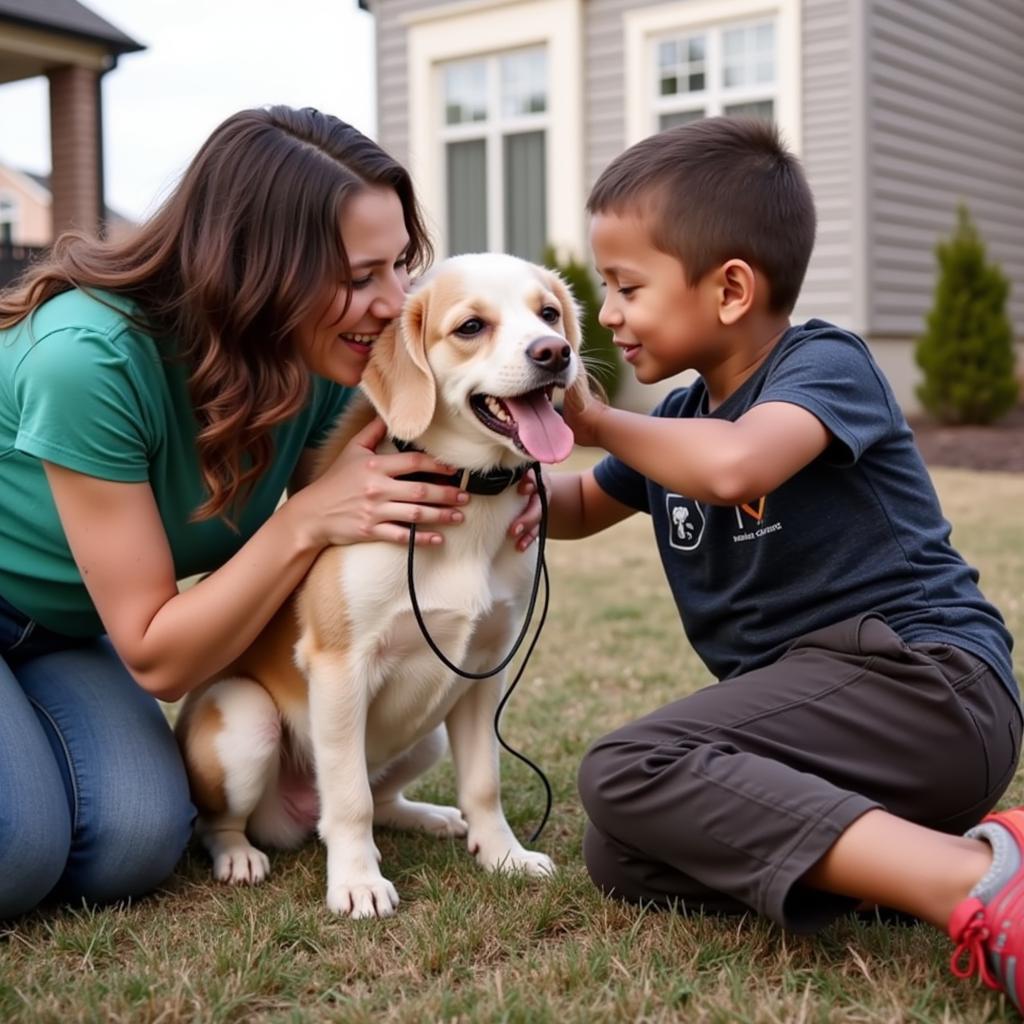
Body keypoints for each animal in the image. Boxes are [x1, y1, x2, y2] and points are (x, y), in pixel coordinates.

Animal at [176, 253, 585, 921]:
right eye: (471, 326)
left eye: (548, 314)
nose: (554, 352)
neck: (467, 497)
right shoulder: (340, 666)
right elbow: (349, 801)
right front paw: (357, 882)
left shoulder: (483, 669)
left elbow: (484, 783)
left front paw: (503, 855)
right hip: (245, 718)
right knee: (226, 821)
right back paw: (239, 855)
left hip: (430, 734)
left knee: (387, 796)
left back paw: (429, 817)